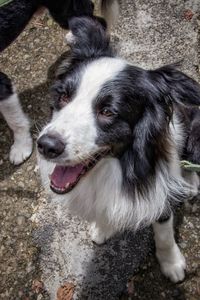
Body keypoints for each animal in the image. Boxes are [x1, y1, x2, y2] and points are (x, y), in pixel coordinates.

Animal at [37, 17, 200, 282]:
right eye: (63, 96)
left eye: (107, 112)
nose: (46, 146)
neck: (119, 164)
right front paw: (103, 228)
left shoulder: (159, 187)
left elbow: (164, 231)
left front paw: (172, 264)